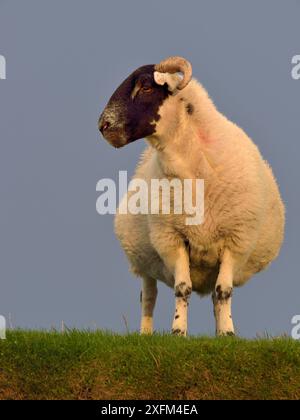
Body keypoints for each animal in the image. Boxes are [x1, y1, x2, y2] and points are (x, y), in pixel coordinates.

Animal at [99, 56, 286, 338]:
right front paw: (178, 331)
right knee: (148, 297)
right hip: (145, 262)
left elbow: (224, 292)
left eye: (146, 86)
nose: (103, 126)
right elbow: (182, 288)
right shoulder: (172, 238)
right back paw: (145, 334)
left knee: (215, 296)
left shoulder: (236, 241)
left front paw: (228, 334)